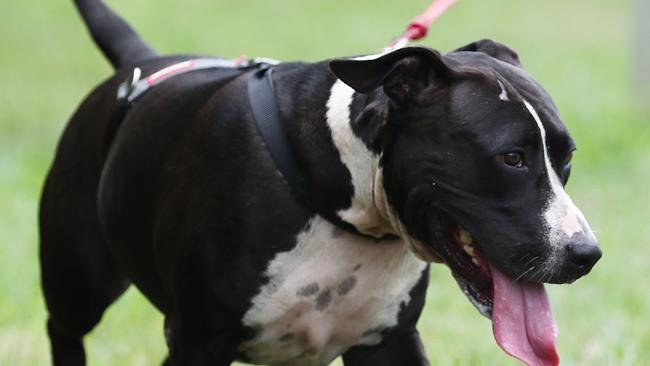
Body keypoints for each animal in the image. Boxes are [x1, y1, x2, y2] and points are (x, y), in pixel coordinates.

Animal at [39, 0, 596, 366]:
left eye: (567, 157)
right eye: (511, 158)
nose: (586, 254)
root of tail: (143, 62)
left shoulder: (389, 344)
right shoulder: (197, 340)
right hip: (77, 282)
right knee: (63, 328)